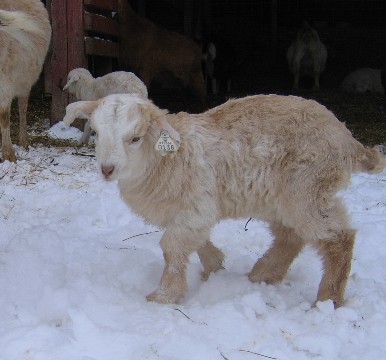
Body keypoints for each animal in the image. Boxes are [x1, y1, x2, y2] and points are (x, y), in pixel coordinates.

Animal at [0, 0, 51, 162]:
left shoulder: (7, 85)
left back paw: (22, 141)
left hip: (23, 81)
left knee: (22, 108)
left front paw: (8, 154)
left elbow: (5, 116)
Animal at [64, 93, 386, 306]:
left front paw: (165, 294)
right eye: (97, 132)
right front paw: (214, 266)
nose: (107, 169)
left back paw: (327, 299)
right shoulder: (190, 211)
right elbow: (194, 240)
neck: (167, 157)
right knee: (290, 236)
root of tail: (348, 140)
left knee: (338, 237)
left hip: (308, 186)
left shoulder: (196, 205)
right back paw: (263, 274)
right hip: (282, 197)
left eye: (135, 138)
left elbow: (172, 246)